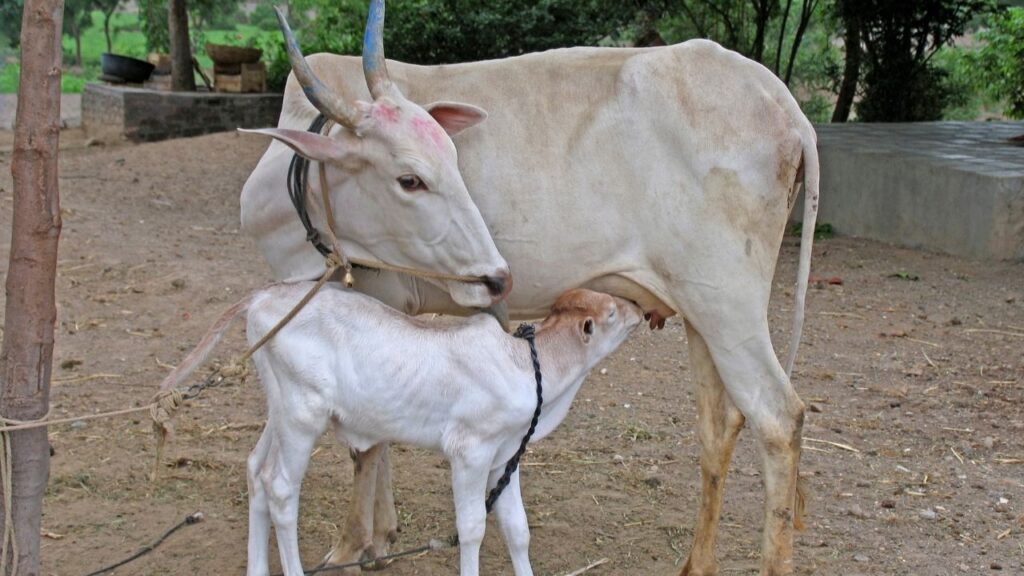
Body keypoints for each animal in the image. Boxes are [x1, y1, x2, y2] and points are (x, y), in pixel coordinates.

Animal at [157, 285, 643, 576]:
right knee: (279, 488)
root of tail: (265, 296)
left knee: (256, 470)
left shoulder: (506, 456)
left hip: (278, 411)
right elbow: (472, 528)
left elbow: (516, 527)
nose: (639, 309)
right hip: (301, 415)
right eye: (613, 311)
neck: (526, 365)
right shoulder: (469, 452)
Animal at [239, 2, 820, 574]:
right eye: (410, 179)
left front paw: (354, 542)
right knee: (719, 425)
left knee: (777, 419)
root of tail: (779, 99)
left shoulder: (376, 297)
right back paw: (695, 565)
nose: (498, 277)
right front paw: (380, 535)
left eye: (448, 160)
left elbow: (366, 443)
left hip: (728, 302)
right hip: (701, 311)